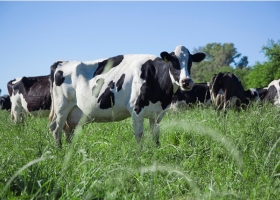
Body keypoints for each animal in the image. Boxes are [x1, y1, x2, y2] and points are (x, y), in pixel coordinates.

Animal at [48, 45, 206, 147]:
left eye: (190, 62)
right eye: (174, 62)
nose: (186, 81)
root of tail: (62, 62)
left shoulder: (157, 114)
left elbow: (155, 137)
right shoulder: (136, 111)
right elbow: (139, 136)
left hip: (74, 112)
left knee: (67, 131)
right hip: (62, 107)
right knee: (56, 130)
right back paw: (60, 152)